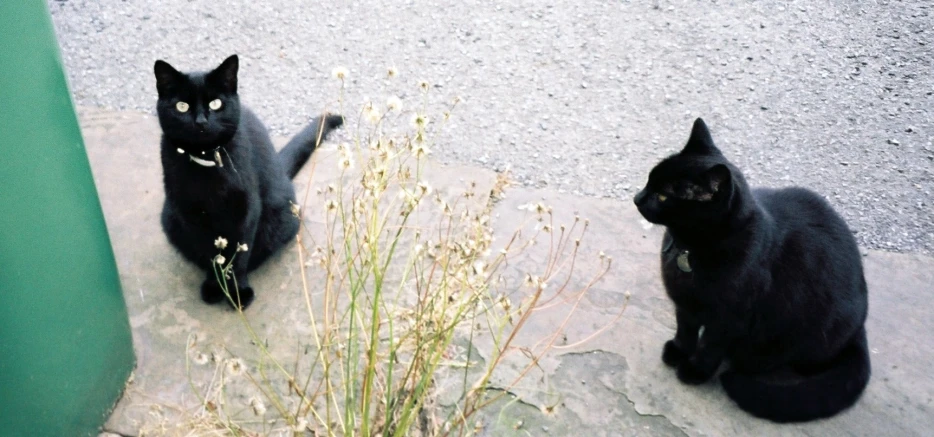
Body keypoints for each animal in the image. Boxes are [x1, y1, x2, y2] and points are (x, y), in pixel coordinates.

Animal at [154, 54, 344, 308]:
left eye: (216, 104)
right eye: (181, 106)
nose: (201, 122)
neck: (207, 164)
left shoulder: (246, 208)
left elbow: (240, 254)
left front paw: (237, 291)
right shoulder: (189, 213)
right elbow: (209, 254)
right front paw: (215, 286)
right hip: (170, 218)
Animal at [632, 117, 872, 420]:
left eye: (663, 196)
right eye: (648, 181)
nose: (637, 197)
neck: (688, 250)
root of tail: (860, 327)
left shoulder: (729, 317)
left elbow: (709, 345)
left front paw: (695, 371)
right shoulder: (685, 304)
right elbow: (684, 330)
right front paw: (678, 351)